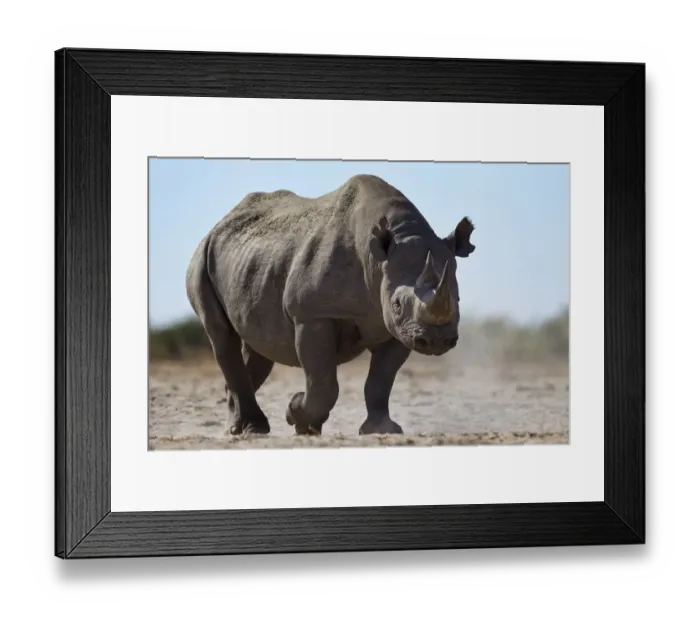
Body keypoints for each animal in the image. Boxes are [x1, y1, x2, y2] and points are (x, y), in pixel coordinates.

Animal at [185, 174, 475, 437]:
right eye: (396, 304)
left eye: (458, 299)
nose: (436, 340)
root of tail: (218, 225)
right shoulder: (312, 314)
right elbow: (323, 382)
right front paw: (296, 414)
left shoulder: (398, 330)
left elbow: (380, 381)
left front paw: (382, 430)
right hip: (201, 259)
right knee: (222, 335)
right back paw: (248, 429)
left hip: (247, 263)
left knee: (258, 345)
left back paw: (242, 427)